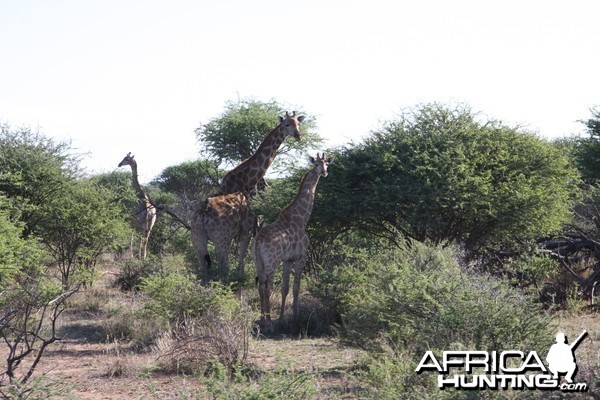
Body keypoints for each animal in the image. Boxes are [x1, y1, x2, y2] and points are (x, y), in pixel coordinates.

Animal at [191, 111, 304, 282]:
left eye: (298, 123)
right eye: (286, 124)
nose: (298, 135)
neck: (246, 181)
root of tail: (204, 212)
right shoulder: (247, 227)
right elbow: (242, 253)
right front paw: (241, 276)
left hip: (198, 238)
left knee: (204, 269)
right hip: (221, 239)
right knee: (223, 268)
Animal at [251, 152, 330, 332]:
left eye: (327, 164)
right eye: (316, 164)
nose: (324, 172)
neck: (301, 219)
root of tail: (258, 241)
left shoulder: (288, 260)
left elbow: (285, 288)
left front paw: (281, 318)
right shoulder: (301, 257)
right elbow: (296, 288)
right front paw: (295, 317)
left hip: (258, 261)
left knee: (261, 284)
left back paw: (262, 320)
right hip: (271, 261)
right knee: (267, 286)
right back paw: (268, 324)